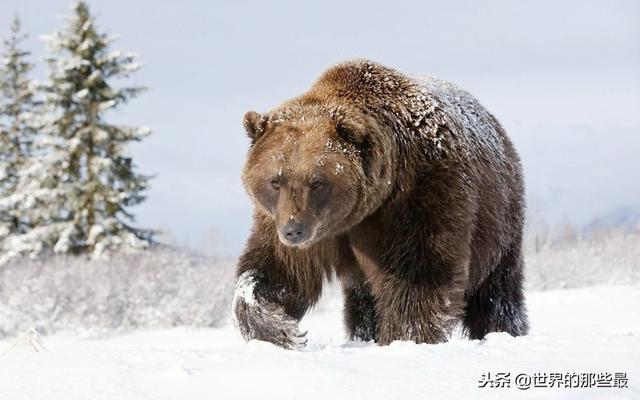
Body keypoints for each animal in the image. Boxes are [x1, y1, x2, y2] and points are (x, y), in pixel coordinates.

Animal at [232, 59, 528, 349]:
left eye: (318, 182)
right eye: (275, 180)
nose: (294, 230)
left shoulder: (417, 197)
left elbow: (418, 275)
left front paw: (406, 336)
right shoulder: (296, 226)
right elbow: (278, 271)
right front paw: (281, 329)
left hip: (497, 220)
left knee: (496, 292)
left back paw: (502, 330)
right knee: (362, 299)